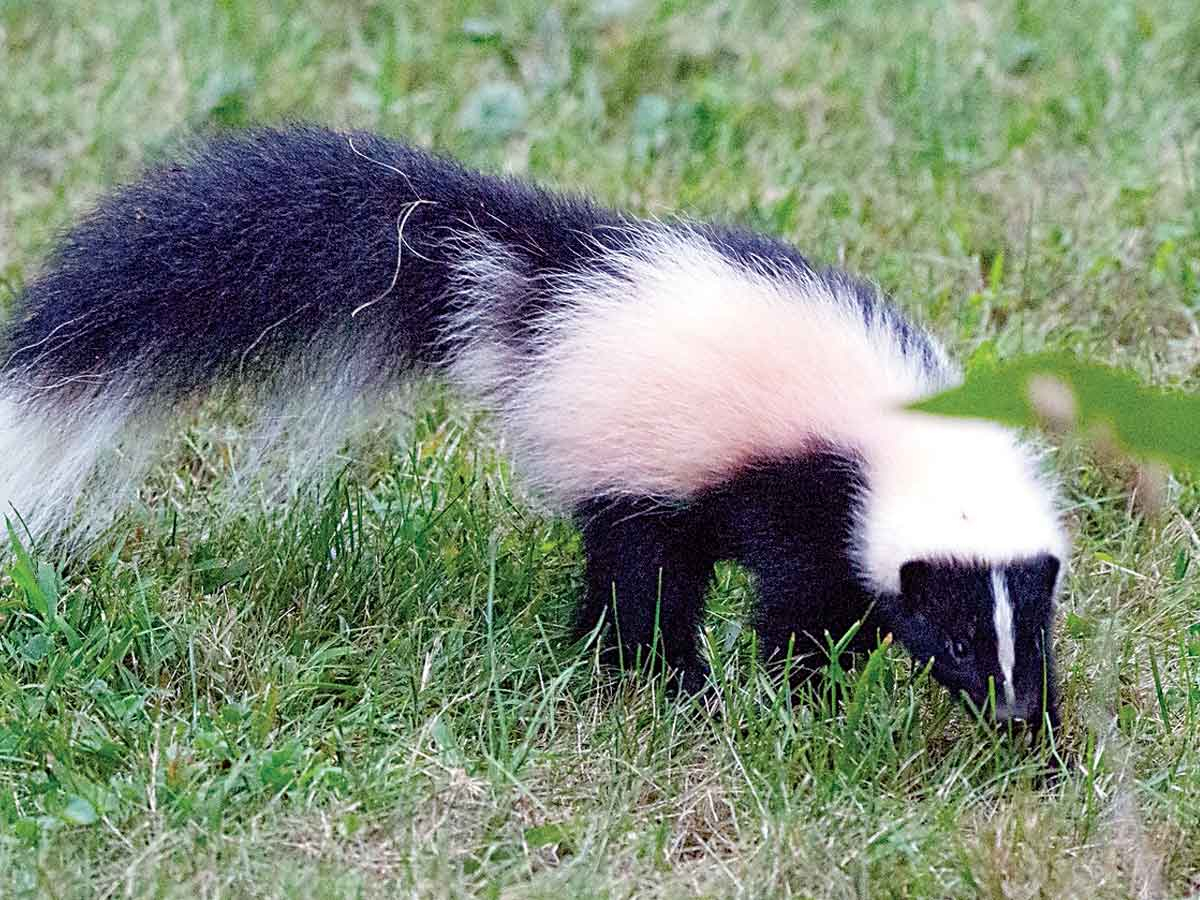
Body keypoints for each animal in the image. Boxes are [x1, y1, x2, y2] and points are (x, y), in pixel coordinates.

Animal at [0, 127, 1070, 729]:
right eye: (957, 639)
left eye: (1027, 632)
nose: (1011, 712)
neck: (925, 444)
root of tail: (549, 285)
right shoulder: (805, 490)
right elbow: (800, 607)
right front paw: (804, 698)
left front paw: (1053, 740)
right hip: (640, 469)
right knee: (641, 584)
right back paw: (667, 683)